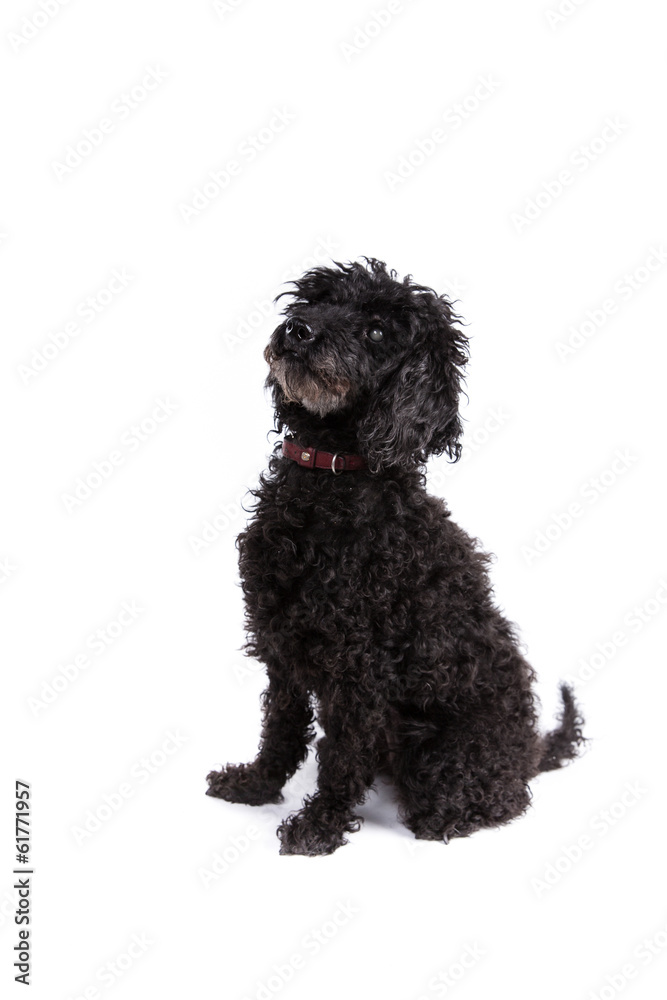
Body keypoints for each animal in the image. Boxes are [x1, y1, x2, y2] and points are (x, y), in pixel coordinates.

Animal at [205, 262, 584, 856]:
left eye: (378, 331)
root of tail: (527, 748)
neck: (328, 481)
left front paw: (320, 825)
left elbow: (341, 758)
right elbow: (281, 728)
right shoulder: (281, 643)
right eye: (317, 300)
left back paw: (448, 815)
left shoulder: (360, 668)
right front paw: (256, 786)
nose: (298, 331)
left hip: (447, 755)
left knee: (500, 797)